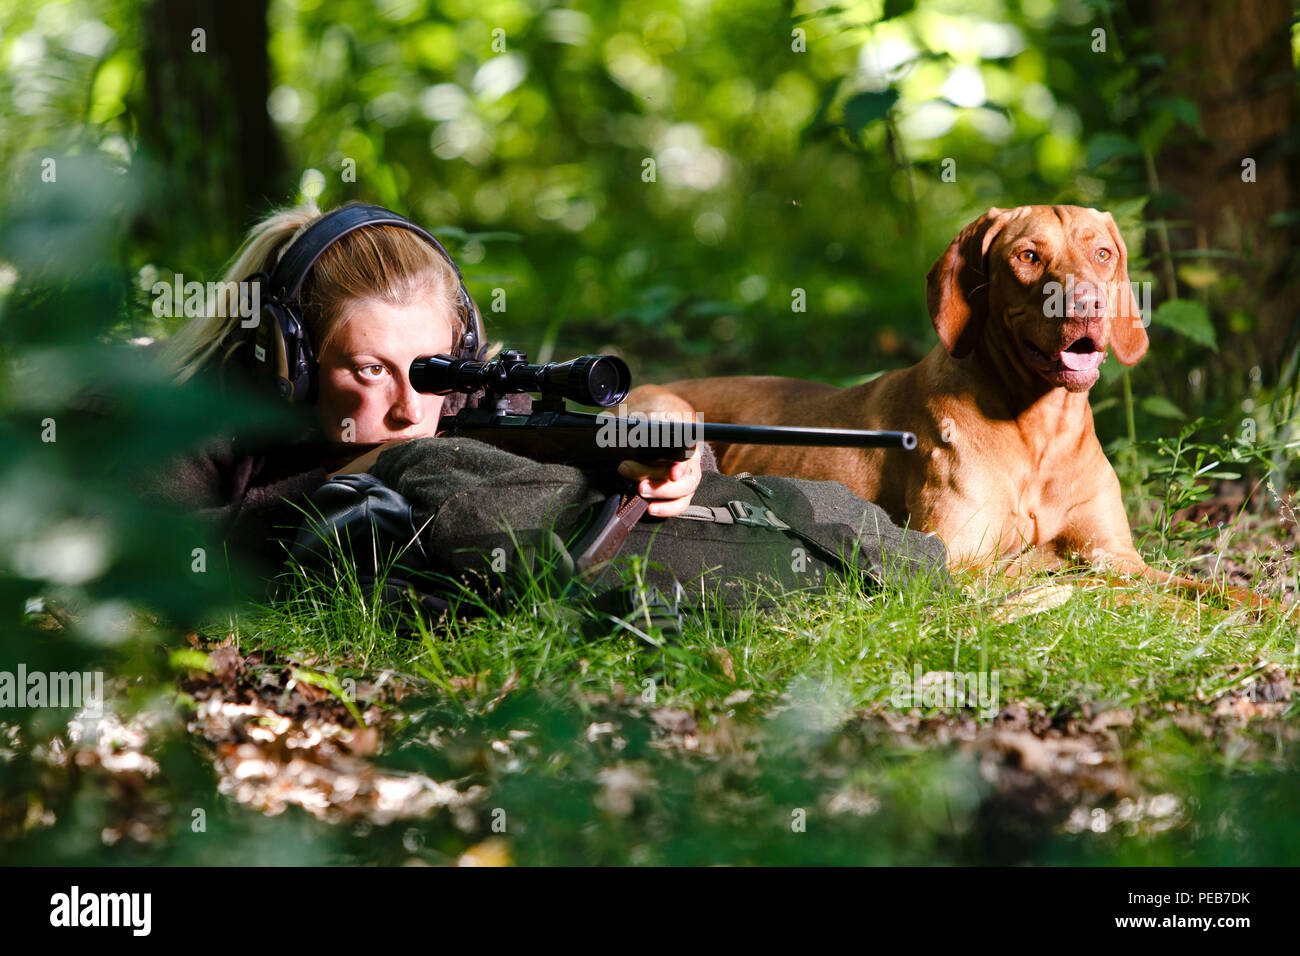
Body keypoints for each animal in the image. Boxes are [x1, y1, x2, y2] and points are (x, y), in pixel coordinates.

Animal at [630, 205, 1266, 607]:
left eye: (1104, 253)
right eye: (1028, 256)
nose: (1085, 302)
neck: (1039, 430)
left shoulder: (1116, 552)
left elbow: (1205, 588)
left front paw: (1261, 610)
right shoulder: (957, 559)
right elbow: (1097, 584)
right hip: (668, 407)